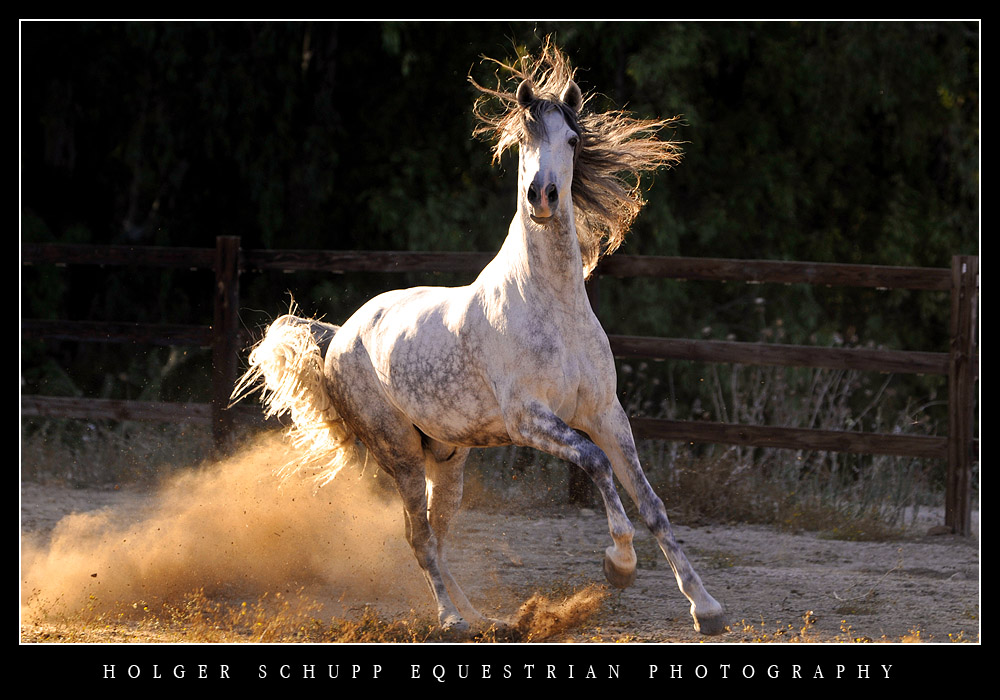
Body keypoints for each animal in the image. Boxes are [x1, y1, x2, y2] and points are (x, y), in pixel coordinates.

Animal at [234, 41, 728, 636]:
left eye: (572, 140)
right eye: (523, 141)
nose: (543, 195)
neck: (552, 307)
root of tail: (340, 336)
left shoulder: (607, 413)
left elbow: (652, 504)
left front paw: (707, 608)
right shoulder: (529, 419)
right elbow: (595, 463)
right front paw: (620, 565)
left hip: (448, 459)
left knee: (439, 533)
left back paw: (481, 617)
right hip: (399, 453)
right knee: (419, 536)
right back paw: (450, 619)